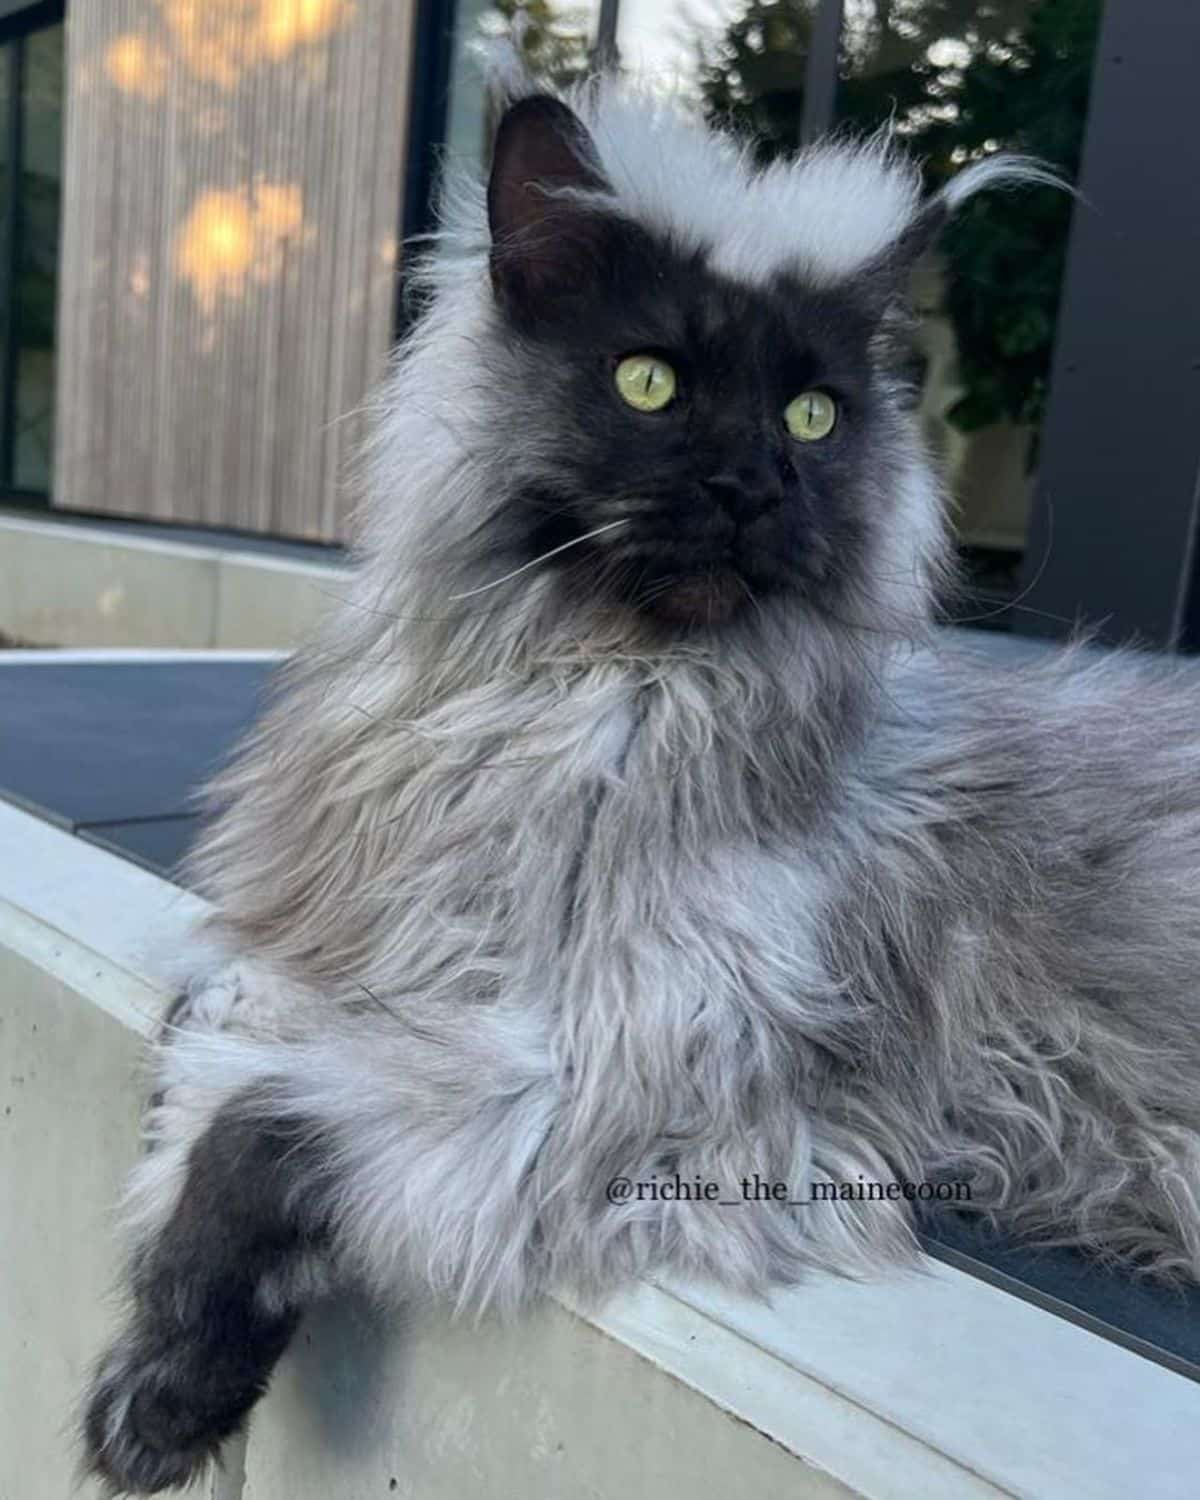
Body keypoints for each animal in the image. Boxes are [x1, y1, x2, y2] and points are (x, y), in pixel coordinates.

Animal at [79, 64, 1200, 1494]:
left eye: (813, 415)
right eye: (650, 381)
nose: (752, 484)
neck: (574, 695)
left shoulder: (642, 1062)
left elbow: (264, 1125)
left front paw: (161, 1400)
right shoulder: (329, 949)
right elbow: (198, 1036)